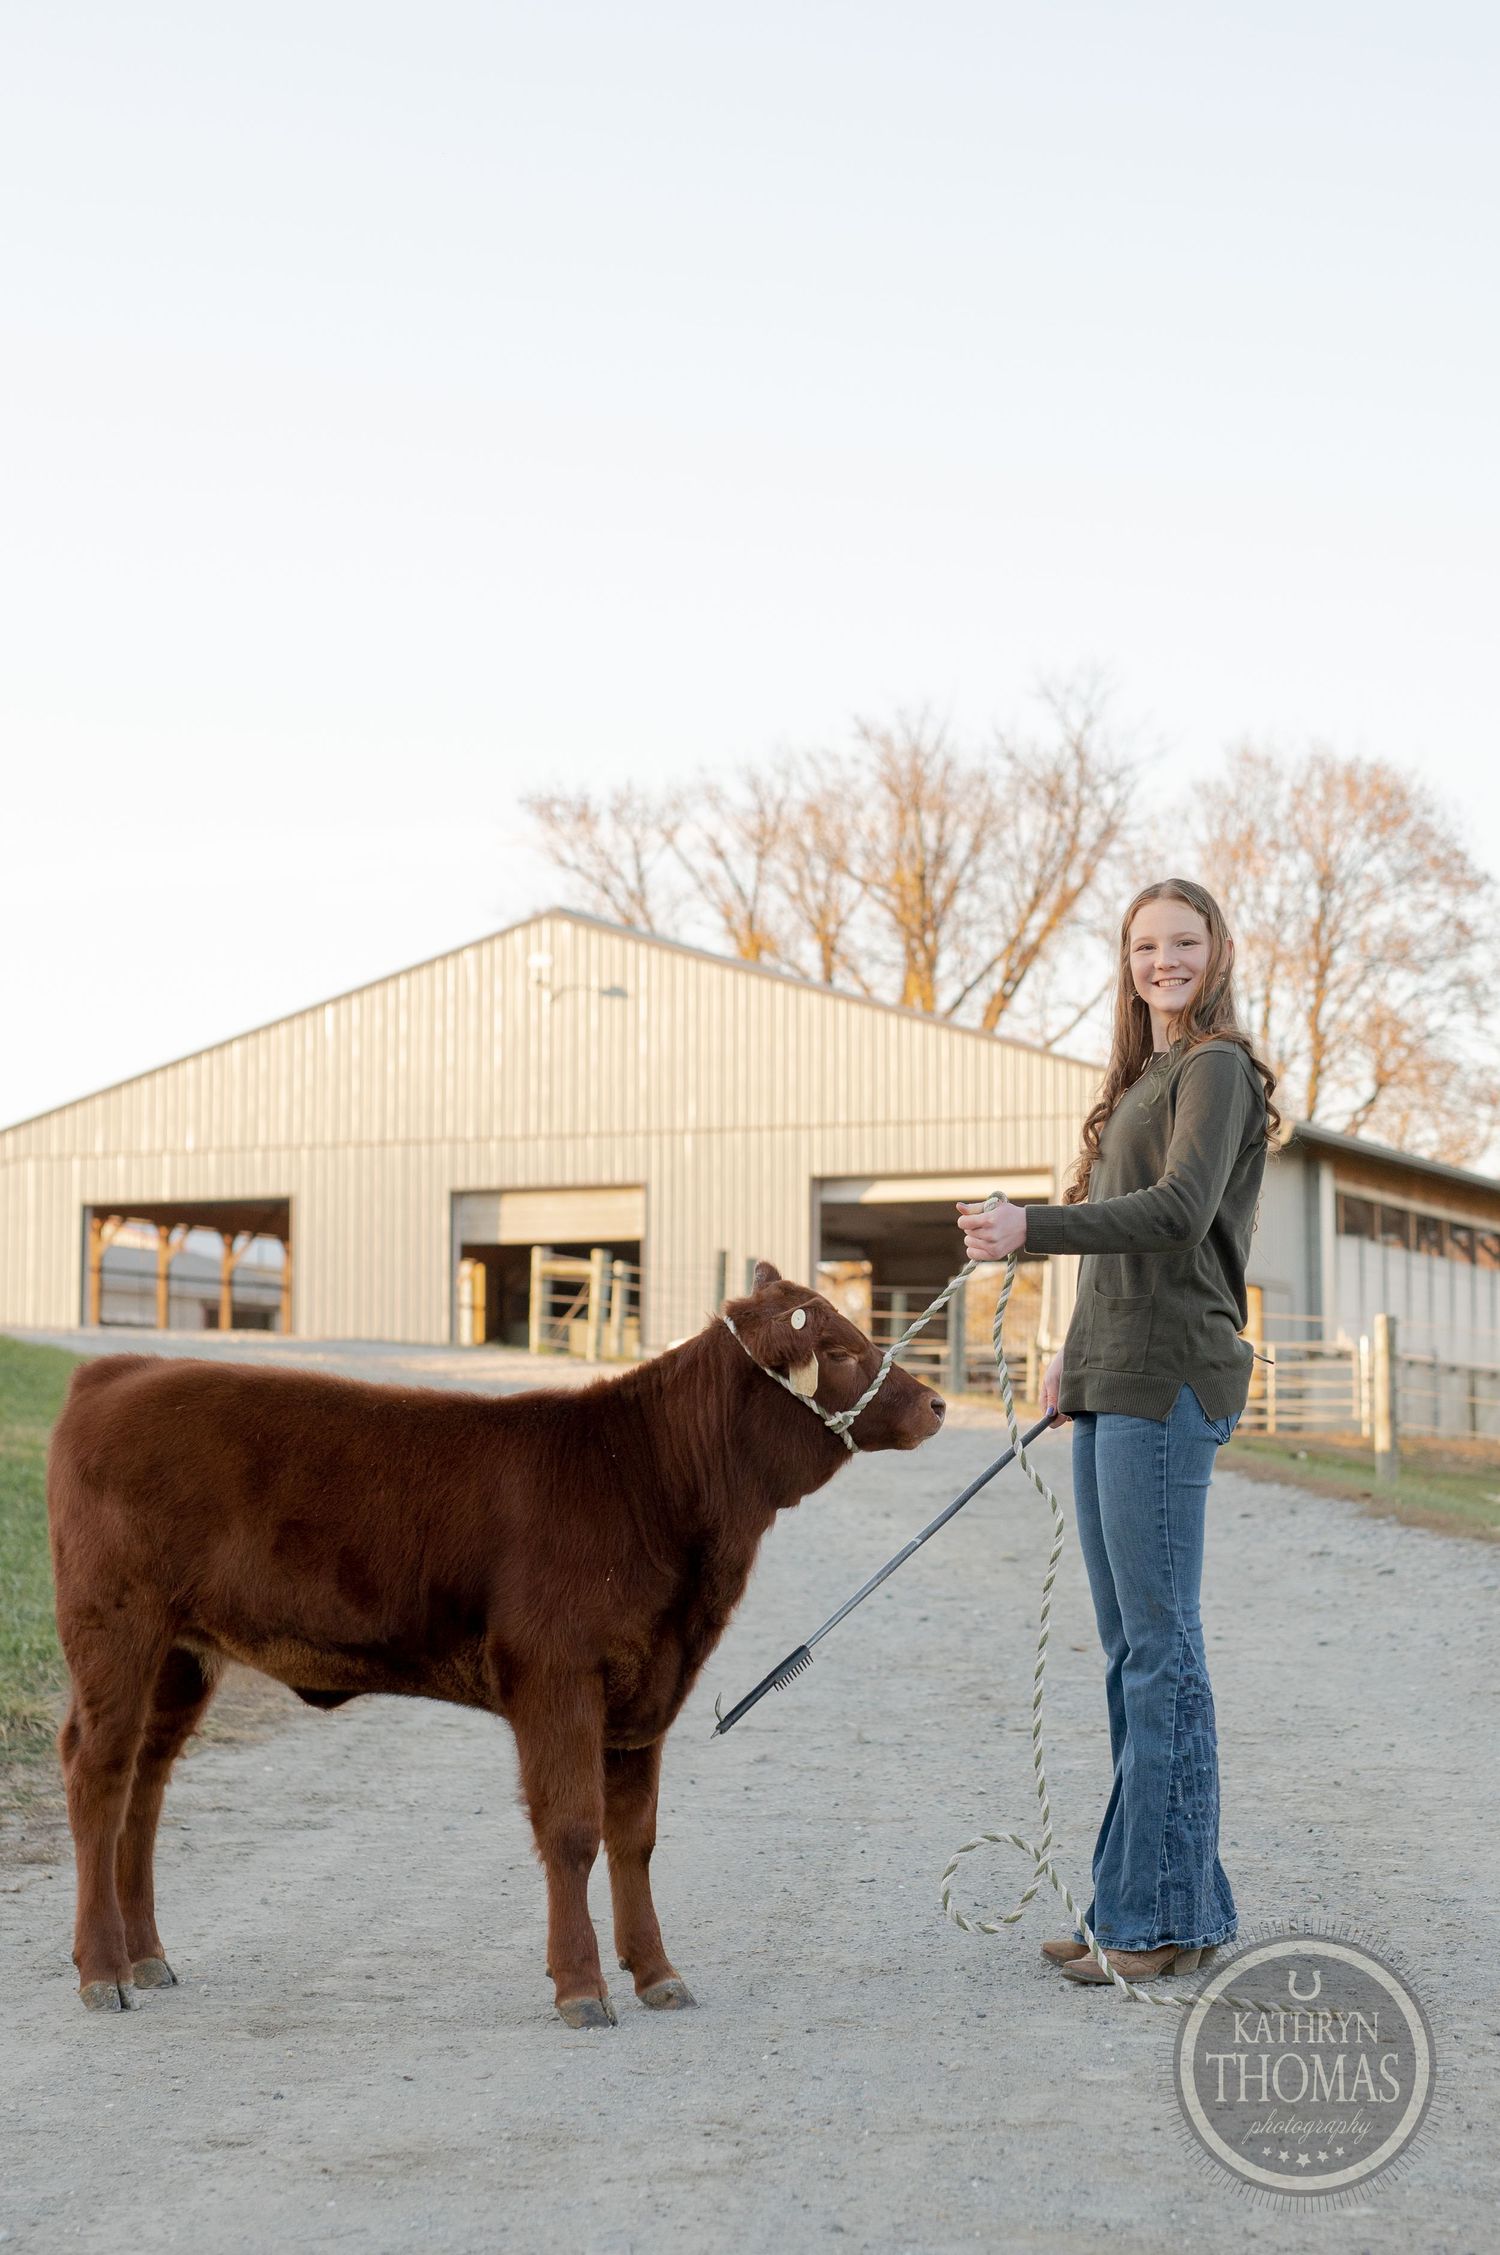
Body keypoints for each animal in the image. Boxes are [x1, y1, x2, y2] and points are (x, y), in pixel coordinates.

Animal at [46, 1261, 944, 2027]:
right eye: (839, 1350)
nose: (934, 1404)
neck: (647, 1481)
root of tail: (119, 1370)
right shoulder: (556, 1674)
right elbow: (574, 1829)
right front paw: (581, 1985)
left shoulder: (645, 1687)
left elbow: (636, 1834)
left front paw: (657, 1972)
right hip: (114, 1627)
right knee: (99, 1773)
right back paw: (104, 1969)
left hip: (181, 1653)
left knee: (146, 1782)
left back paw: (147, 1954)